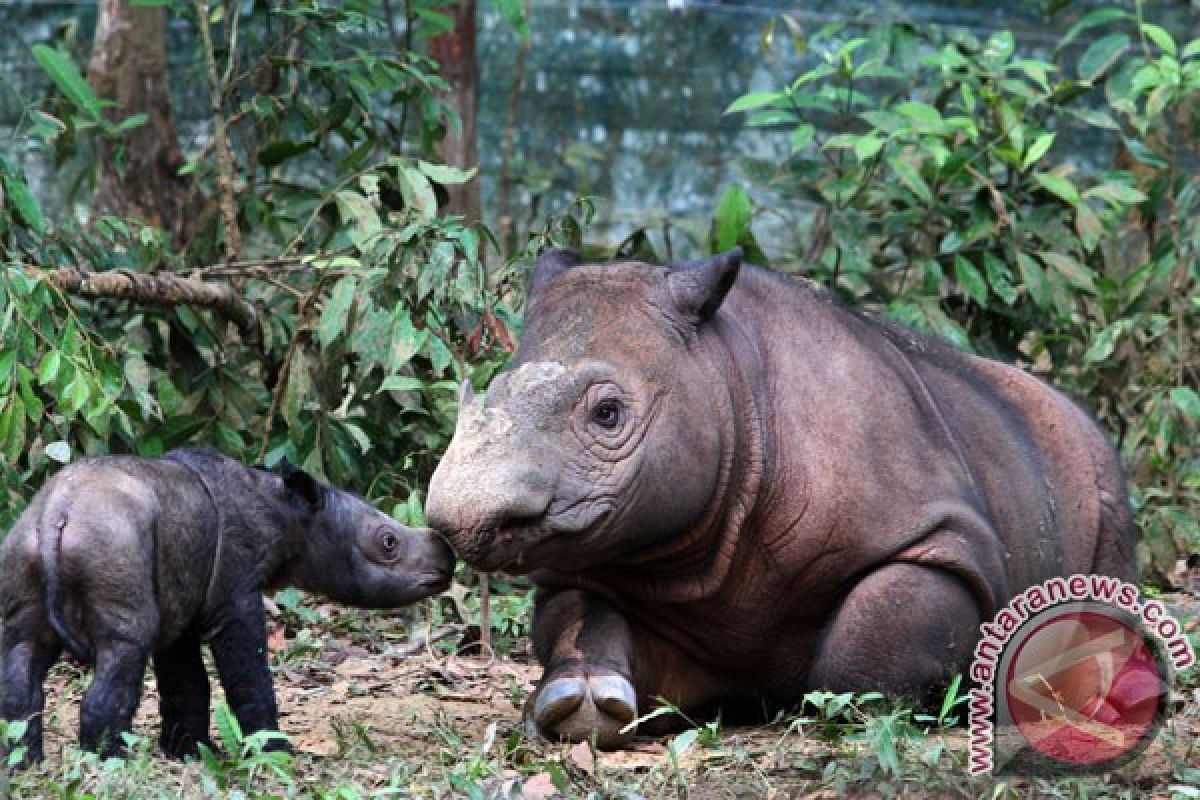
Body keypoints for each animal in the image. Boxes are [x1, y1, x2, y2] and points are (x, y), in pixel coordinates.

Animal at [1, 448, 451, 767]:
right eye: (389, 543)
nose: (444, 555)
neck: (290, 515)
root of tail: (58, 513)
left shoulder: (184, 601)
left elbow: (186, 682)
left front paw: (189, 753)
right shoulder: (234, 596)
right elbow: (247, 674)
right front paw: (276, 753)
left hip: (23, 543)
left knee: (25, 646)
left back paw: (25, 765)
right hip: (111, 545)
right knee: (125, 645)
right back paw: (112, 763)